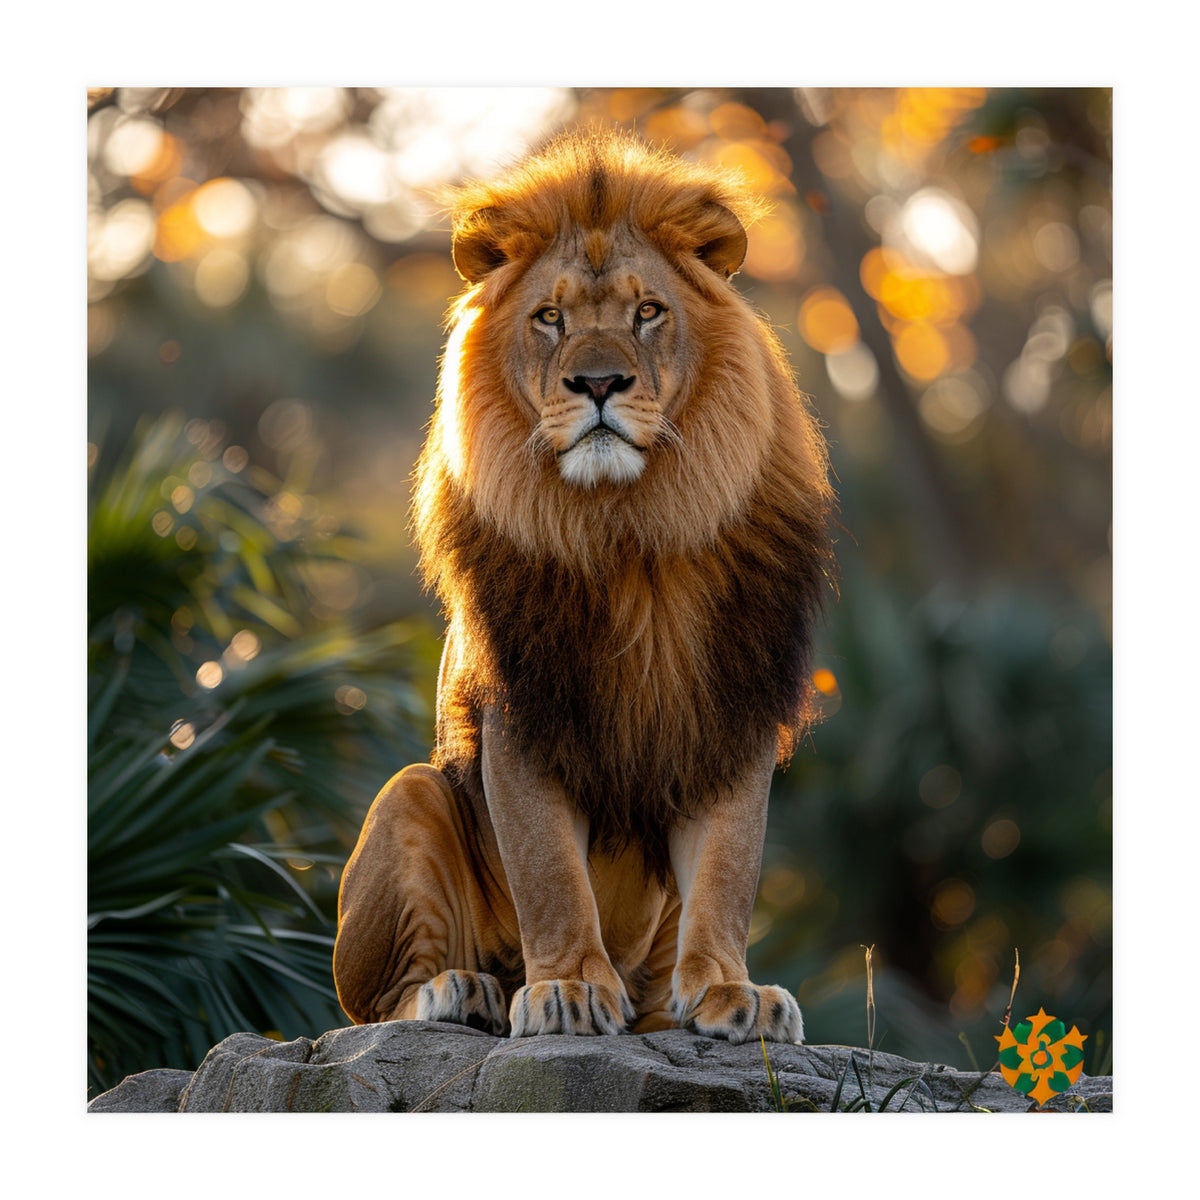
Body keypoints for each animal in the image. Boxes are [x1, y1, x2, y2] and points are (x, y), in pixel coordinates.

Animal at [333, 130, 834, 1044]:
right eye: (550, 318)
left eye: (648, 312)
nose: (598, 384)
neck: (630, 531)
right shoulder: (522, 712)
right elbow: (550, 873)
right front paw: (564, 987)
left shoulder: (731, 711)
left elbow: (727, 870)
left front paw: (730, 992)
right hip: (410, 795)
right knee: (374, 1006)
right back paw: (465, 990)